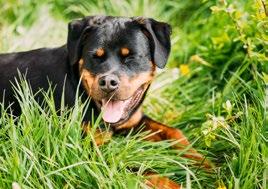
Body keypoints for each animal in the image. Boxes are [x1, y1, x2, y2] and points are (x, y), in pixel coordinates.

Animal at [0, 15, 208, 188]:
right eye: (95, 56)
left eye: (130, 57)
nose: (108, 82)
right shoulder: (86, 151)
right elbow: (136, 167)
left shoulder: (135, 120)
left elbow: (173, 132)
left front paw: (206, 164)